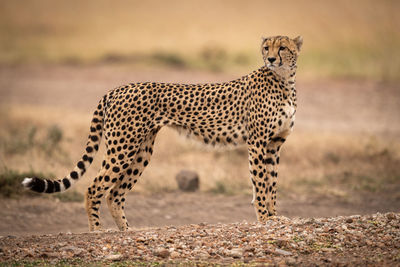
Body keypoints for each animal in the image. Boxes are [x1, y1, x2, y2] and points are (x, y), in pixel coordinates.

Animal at [22, 36, 304, 232]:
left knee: (115, 193)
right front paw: (264, 219)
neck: (284, 81)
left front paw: (274, 217)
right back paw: (96, 231)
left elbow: (272, 183)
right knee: (94, 188)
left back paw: (127, 232)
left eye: (282, 47)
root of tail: (116, 89)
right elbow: (261, 183)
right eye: (266, 47)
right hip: (123, 148)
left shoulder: (274, 144)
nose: (271, 59)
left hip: (141, 151)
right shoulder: (257, 143)